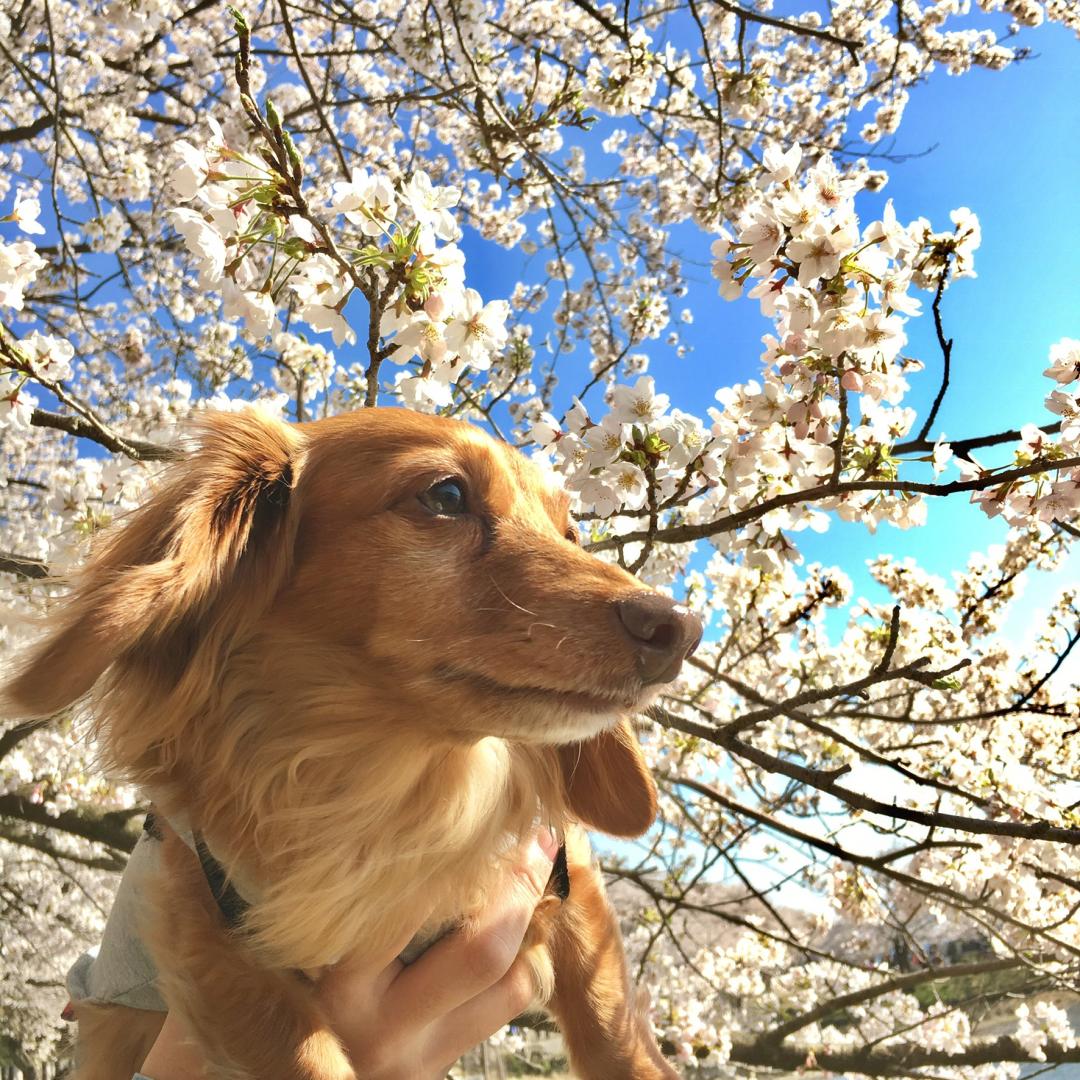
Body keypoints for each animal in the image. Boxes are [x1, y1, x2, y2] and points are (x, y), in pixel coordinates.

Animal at [8, 406, 699, 1080]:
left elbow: (613, 1029)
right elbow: (305, 1051)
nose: (681, 630)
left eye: (571, 533)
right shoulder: (208, 934)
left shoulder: (570, 879)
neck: (408, 786)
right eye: (445, 496)